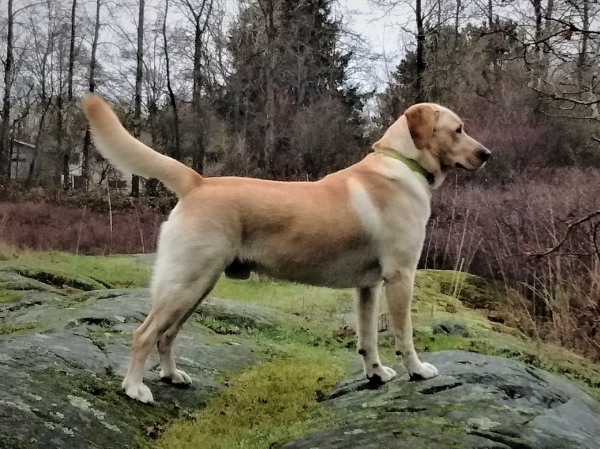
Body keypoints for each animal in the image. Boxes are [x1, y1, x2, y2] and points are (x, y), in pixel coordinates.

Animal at [82, 94, 490, 402]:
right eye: (458, 129)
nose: (486, 154)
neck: (402, 163)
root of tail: (198, 182)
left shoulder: (369, 286)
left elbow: (368, 338)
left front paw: (375, 374)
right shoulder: (401, 276)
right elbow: (404, 334)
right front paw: (417, 371)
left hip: (197, 286)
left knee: (166, 335)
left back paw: (171, 375)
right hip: (186, 283)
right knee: (144, 334)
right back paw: (135, 388)